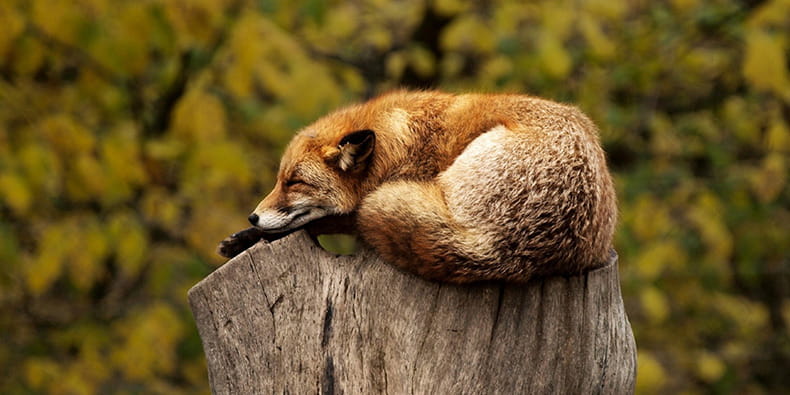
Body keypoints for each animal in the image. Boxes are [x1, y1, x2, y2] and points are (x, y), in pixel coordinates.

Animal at [218, 90, 620, 284]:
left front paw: (248, 238)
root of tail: (503, 249)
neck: (398, 145)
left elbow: (326, 221)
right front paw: (243, 237)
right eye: (279, 180)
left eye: (295, 182)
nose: (253, 217)